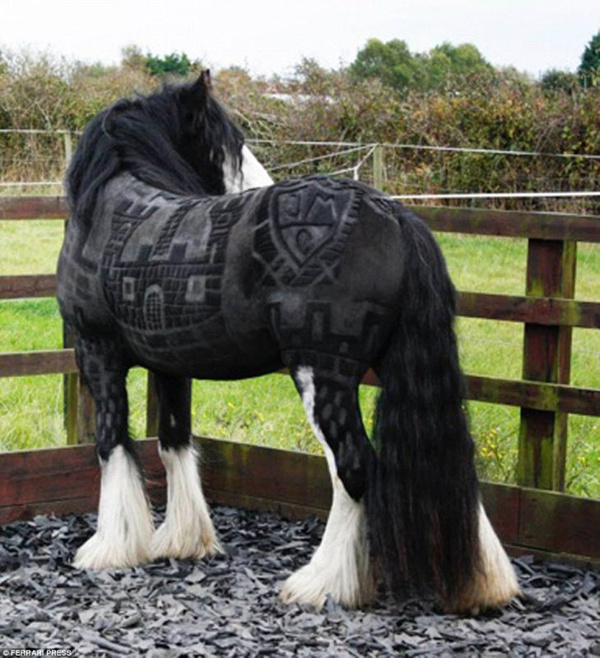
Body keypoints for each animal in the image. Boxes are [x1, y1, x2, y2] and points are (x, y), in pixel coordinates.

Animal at [57, 70, 519, 614]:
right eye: (222, 142)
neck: (111, 214)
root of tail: (394, 216)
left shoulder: (97, 354)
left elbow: (111, 445)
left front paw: (109, 548)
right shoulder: (169, 366)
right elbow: (173, 442)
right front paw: (183, 541)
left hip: (322, 374)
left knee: (353, 468)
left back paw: (322, 583)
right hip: (404, 368)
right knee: (449, 467)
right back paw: (486, 583)